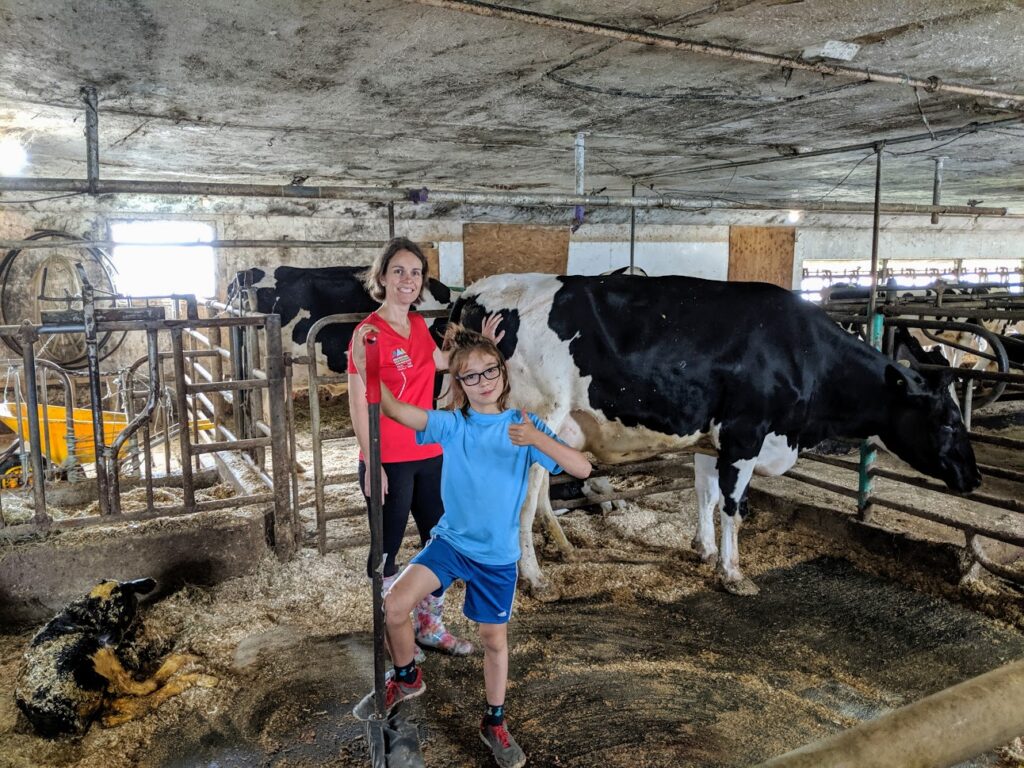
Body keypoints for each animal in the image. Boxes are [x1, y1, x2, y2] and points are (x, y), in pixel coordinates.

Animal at [452, 274, 978, 598]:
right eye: (948, 421)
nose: (973, 478)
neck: (799, 351)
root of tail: (479, 290)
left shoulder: (712, 437)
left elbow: (704, 495)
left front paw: (702, 550)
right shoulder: (746, 434)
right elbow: (733, 508)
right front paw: (732, 571)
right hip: (536, 416)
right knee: (521, 502)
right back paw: (534, 577)